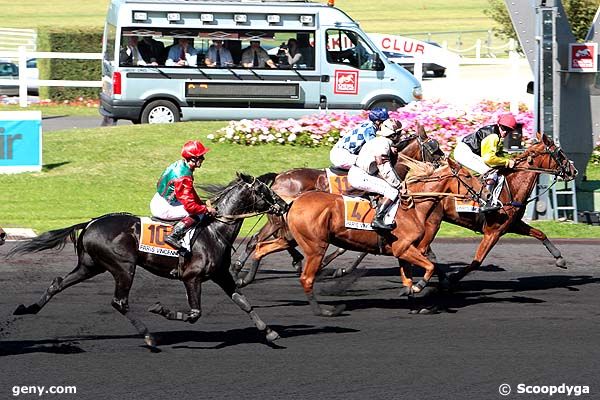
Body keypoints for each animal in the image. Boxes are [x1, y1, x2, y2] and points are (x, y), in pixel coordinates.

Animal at [7, 173, 288, 348]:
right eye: (264, 190)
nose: (284, 205)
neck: (213, 230)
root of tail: (90, 223)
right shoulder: (191, 277)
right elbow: (194, 314)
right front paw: (159, 309)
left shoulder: (221, 275)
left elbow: (244, 302)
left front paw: (270, 332)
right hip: (123, 266)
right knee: (119, 302)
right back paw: (150, 338)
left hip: (90, 266)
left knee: (57, 282)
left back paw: (28, 308)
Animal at [231, 126, 446, 286]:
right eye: (434, 148)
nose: (446, 163)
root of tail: (278, 176)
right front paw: (334, 267)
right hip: (278, 218)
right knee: (264, 239)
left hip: (276, 218)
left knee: (258, 239)